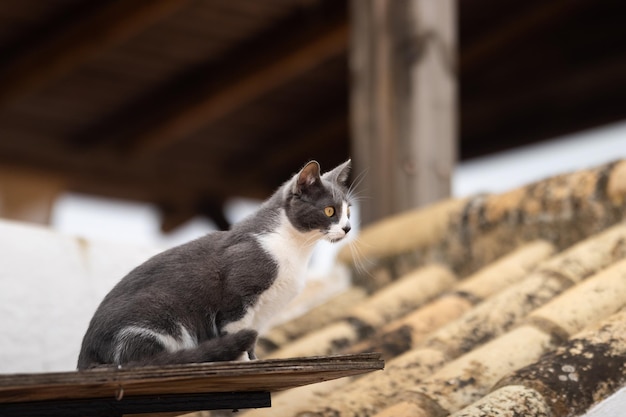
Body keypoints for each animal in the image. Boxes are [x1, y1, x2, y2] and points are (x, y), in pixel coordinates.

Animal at [77, 159, 352, 368]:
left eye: (349, 211)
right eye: (330, 211)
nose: (348, 228)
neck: (296, 249)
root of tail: (86, 356)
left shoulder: (263, 313)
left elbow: (252, 339)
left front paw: (255, 360)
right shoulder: (237, 297)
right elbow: (236, 330)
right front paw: (242, 362)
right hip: (154, 316)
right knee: (138, 360)